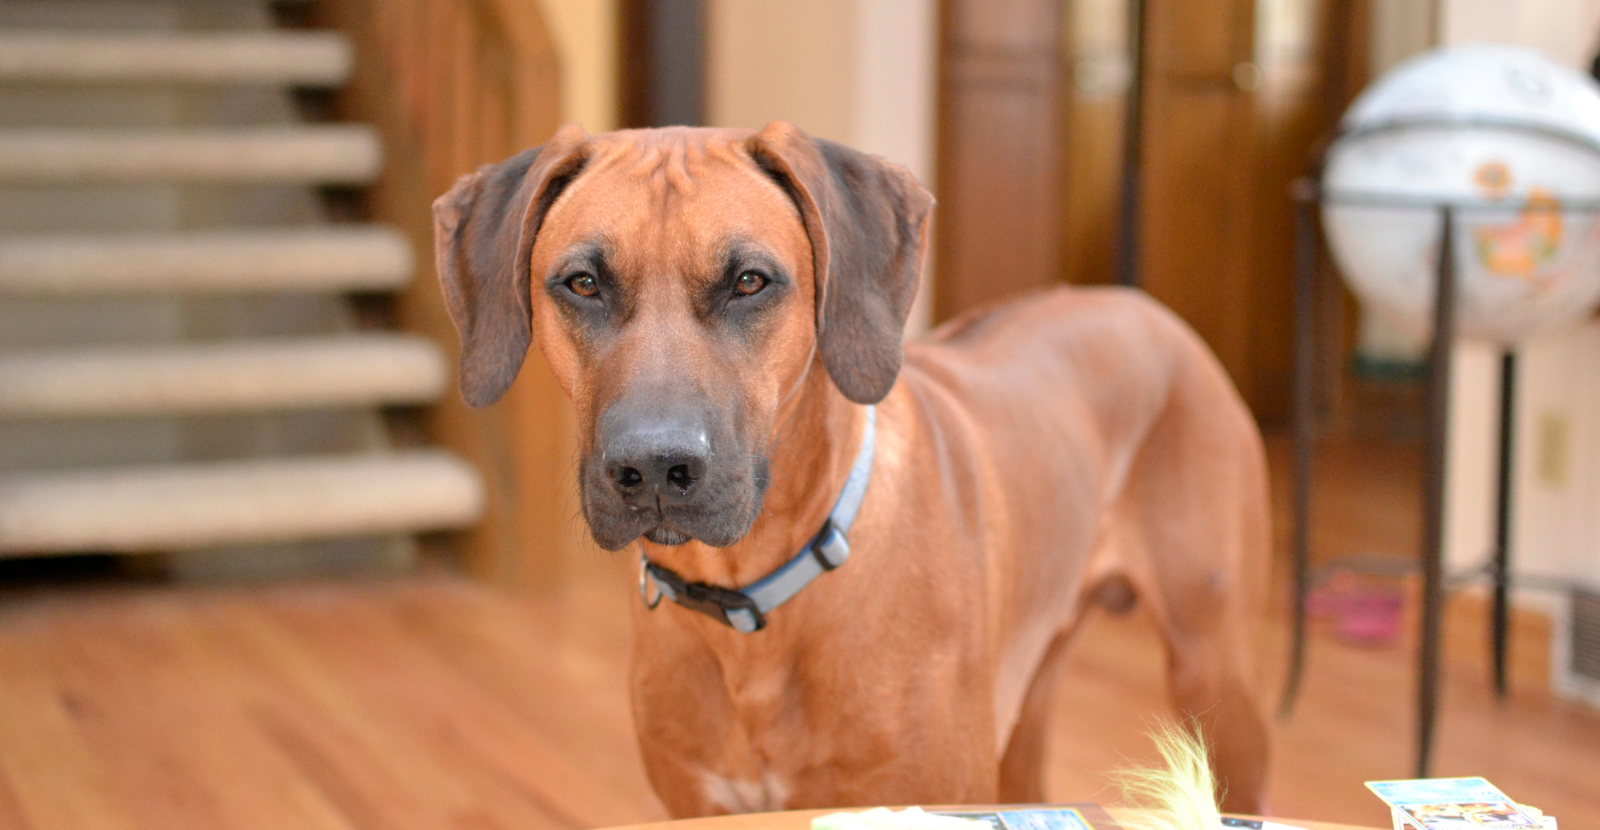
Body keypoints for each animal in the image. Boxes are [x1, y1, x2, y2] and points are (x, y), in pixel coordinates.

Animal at [435, 121, 1273, 818]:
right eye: (582, 283)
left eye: (749, 281)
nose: (653, 464)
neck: (753, 598)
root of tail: (1143, 304)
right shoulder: (696, 804)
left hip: (1216, 675)